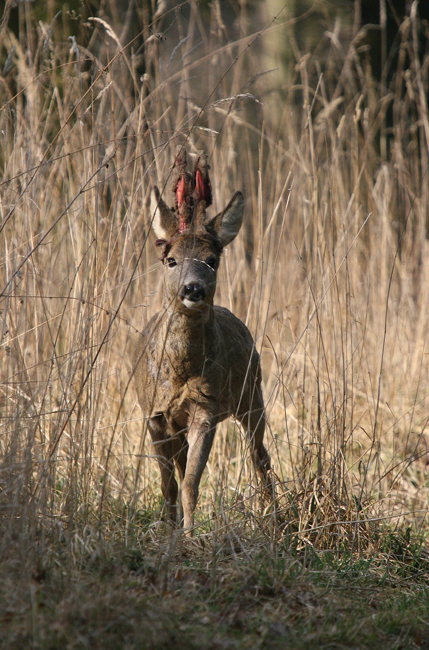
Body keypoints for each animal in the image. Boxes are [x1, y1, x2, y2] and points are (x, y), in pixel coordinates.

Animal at [133, 147, 270, 532]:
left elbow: (191, 482)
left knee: (260, 458)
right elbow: (168, 483)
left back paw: (273, 517)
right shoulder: (154, 414)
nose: (192, 289)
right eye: (170, 260)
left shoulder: (205, 411)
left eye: (212, 260)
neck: (180, 373)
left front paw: (191, 534)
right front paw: (169, 530)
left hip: (252, 394)